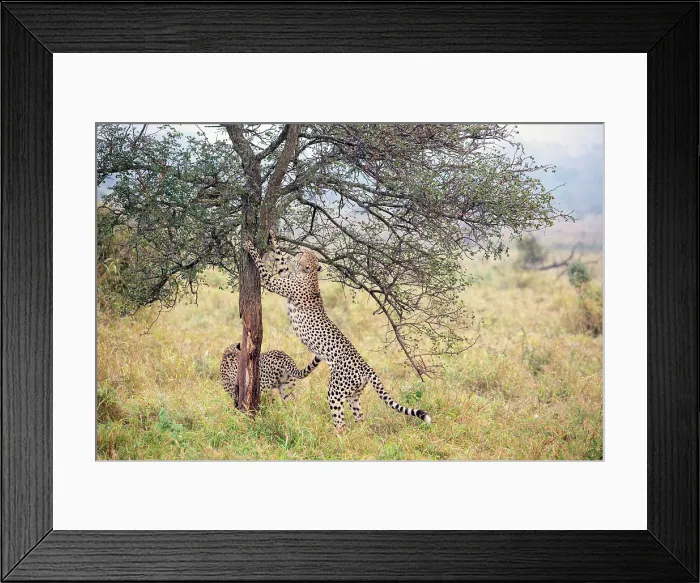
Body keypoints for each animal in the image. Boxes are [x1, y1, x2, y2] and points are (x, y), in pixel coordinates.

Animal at [243, 231, 431, 432]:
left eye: (305, 254)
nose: (299, 250)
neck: (309, 276)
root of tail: (367, 367)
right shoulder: (285, 274)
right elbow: (280, 261)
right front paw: (273, 238)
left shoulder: (275, 283)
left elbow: (263, 269)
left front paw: (249, 246)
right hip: (353, 394)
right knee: (359, 418)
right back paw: (357, 434)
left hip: (335, 390)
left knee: (340, 421)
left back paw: (332, 435)